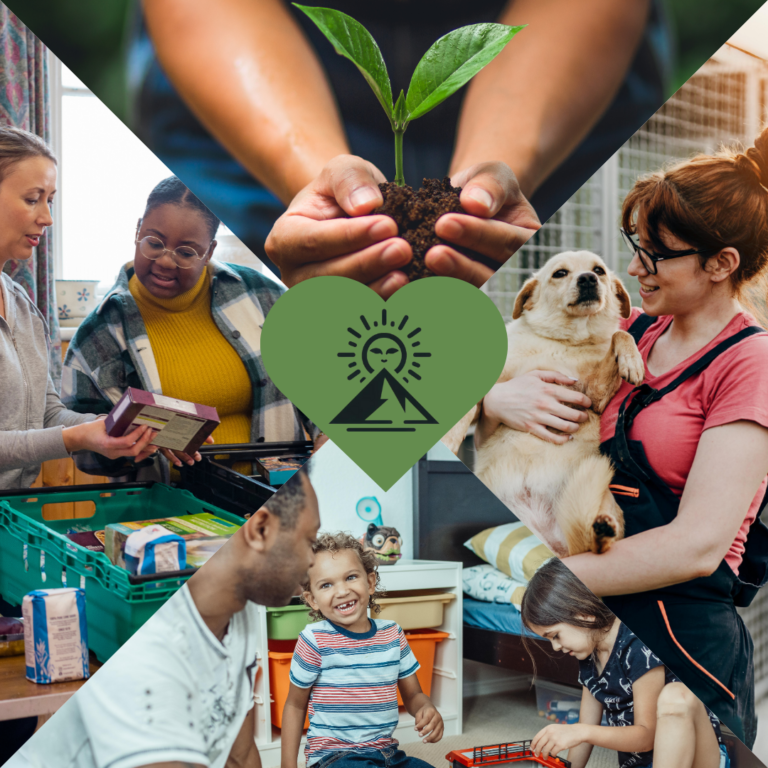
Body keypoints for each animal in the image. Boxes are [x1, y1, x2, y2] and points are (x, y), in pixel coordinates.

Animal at [448, 252, 644, 560]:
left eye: (599, 270)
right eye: (560, 273)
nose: (588, 279)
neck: (564, 342)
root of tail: (554, 546)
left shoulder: (594, 394)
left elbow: (619, 336)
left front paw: (632, 360)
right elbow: (468, 410)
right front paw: (449, 441)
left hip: (603, 499)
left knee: (595, 545)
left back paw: (602, 530)